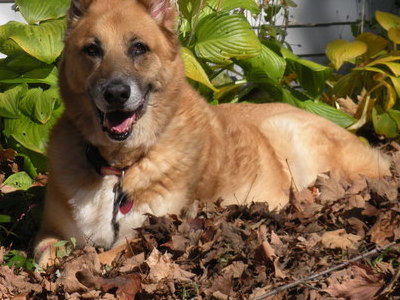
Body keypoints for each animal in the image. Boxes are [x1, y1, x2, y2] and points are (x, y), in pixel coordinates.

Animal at [34, 0, 390, 268]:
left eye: (139, 48)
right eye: (92, 50)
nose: (116, 94)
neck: (118, 166)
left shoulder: (138, 237)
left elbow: (99, 258)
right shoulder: (50, 234)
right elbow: (44, 256)